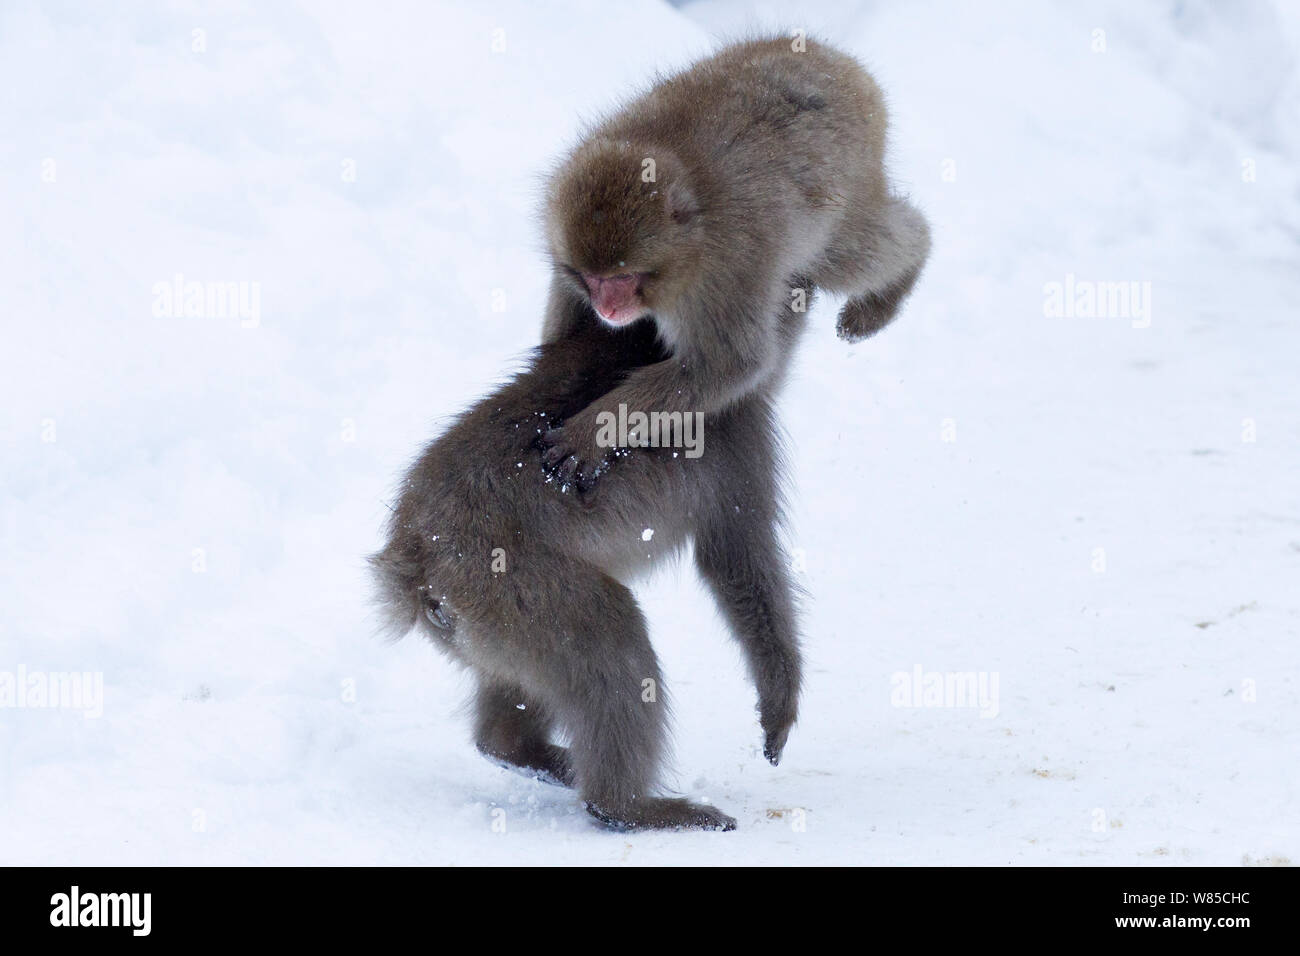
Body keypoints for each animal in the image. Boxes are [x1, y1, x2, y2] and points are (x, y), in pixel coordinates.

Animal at [533, 33, 930, 489]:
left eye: (626, 277)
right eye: (592, 278)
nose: (608, 308)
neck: (691, 242)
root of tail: (841, 63)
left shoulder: (726, 275)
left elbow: (727, 366)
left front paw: (594, 429)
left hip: (849, 181)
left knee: (846, 259)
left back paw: (903, 270)